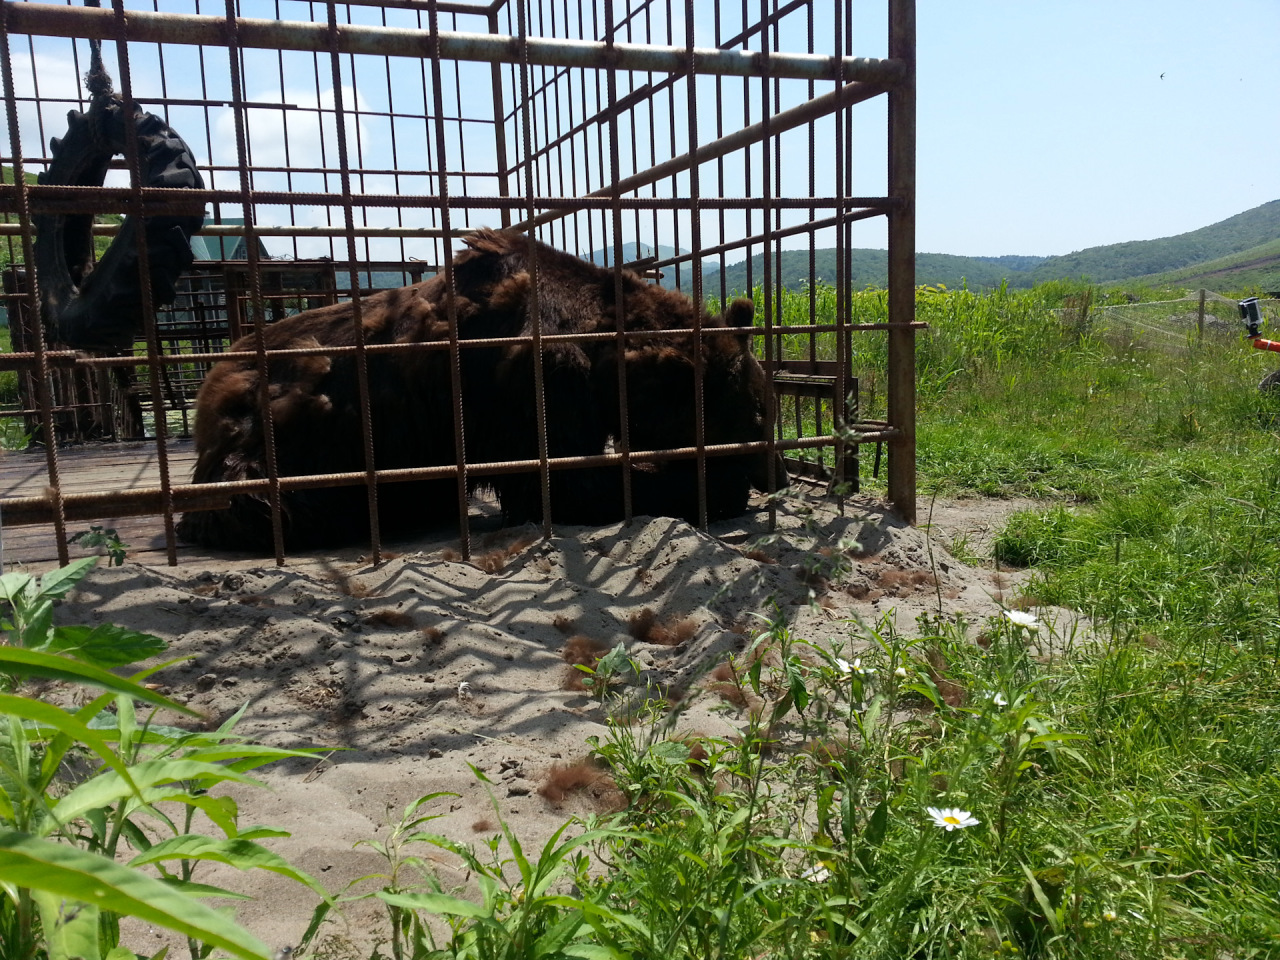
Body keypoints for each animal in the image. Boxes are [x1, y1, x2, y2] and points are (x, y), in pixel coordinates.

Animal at [176, 229, 783, 552]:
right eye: (758, 415)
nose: (776, 473)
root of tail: (210, 379)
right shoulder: (533, 383)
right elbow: (566, 483)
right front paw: (713, 484)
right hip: (286, 425)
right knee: (262, 499)